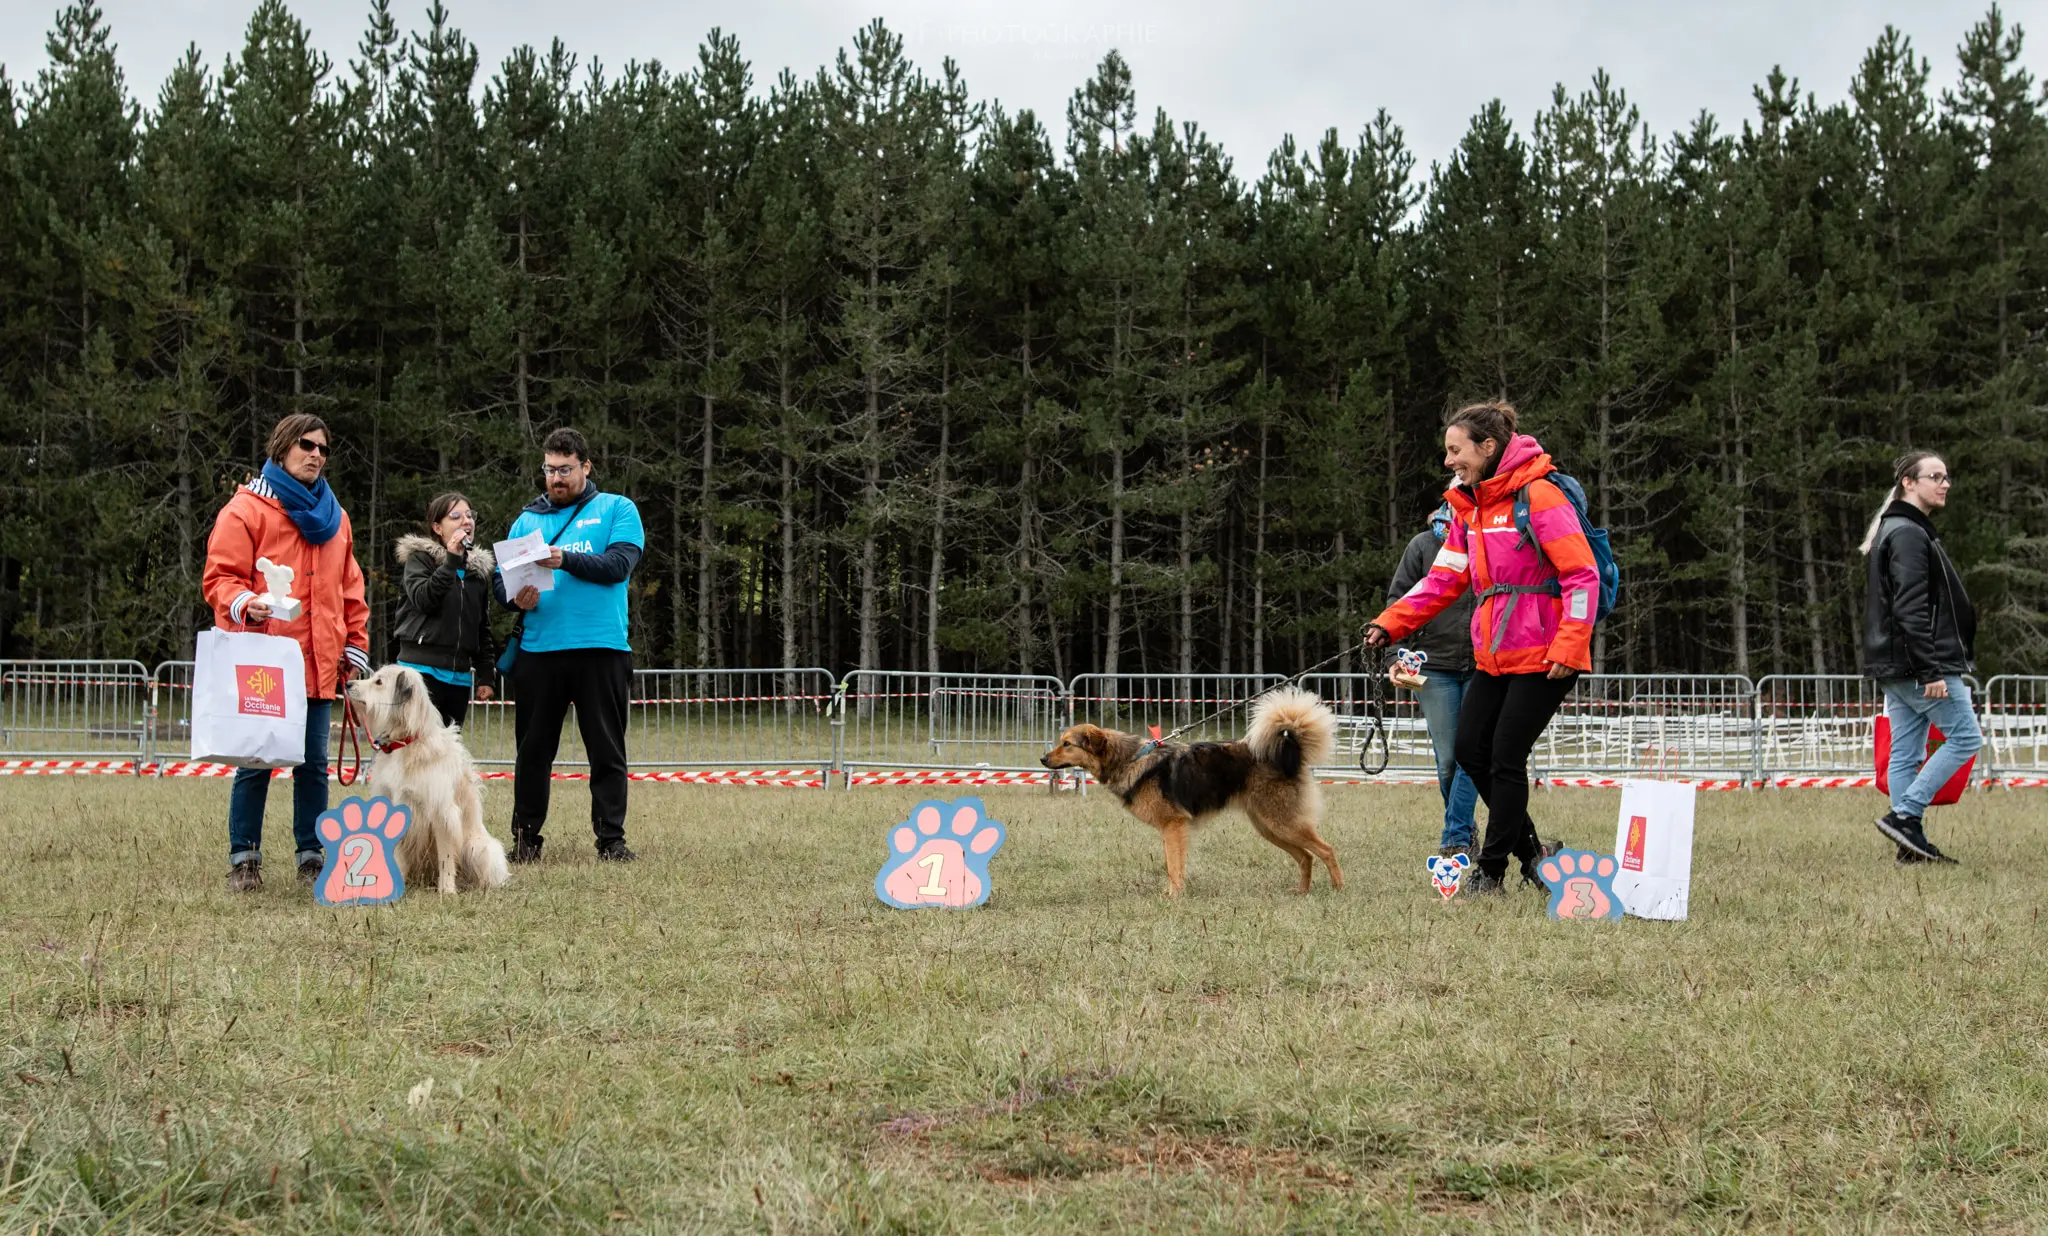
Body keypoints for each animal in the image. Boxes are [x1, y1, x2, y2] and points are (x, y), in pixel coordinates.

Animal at [346, 663, 509, 892]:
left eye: (379, 682)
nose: (347, 683)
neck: (406, 743)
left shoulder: (442, 813)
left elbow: (446, 858)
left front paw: (447, 890)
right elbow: (397, 855)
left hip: (478, 848)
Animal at [1040, 687, 1343, 896]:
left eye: (1067, 744)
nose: (1042, 759)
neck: (1131, 759)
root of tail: (1288, 751)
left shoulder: (1174, 826)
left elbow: (1174, 866)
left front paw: (1174, 895)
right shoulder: (1169, 831)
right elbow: (1172, 864)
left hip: (1282, 823)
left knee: (1326, 850)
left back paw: (1338, 888)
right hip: (1270, 827)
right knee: (1306, 856)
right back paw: (1302, 891)